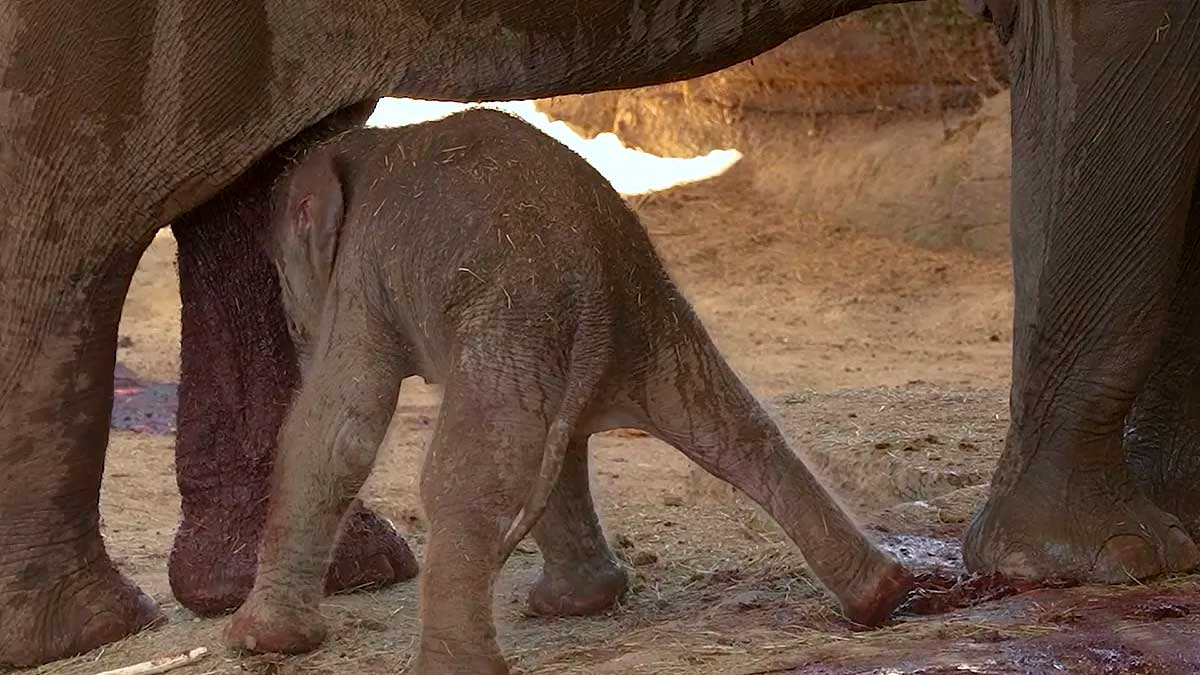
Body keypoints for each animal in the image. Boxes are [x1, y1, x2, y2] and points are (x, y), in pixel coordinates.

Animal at [220, 109, 914, 672]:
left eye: (284, 289)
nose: (296, 330)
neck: (363, 145)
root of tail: (595, 292)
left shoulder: (362, 274)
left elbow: (338, 428)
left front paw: (253, 643)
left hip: (520, 315)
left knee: (473, 475)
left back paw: (455, 666)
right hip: (630, 315)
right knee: (724, 426)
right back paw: (881, 594)